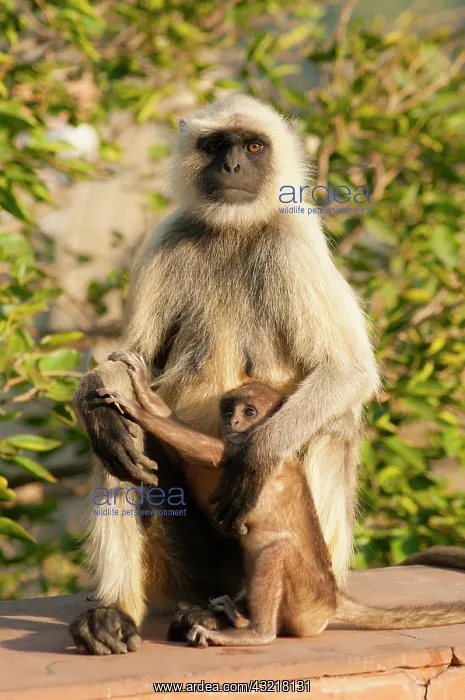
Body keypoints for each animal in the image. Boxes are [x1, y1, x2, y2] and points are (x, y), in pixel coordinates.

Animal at [69, 94, 380, 654]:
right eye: (216, 145)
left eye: (253, 147)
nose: (233, 166)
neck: (234, 229)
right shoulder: (167, 239)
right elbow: (131, 362)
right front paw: (91, 396)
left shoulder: (293, 241)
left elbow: (348, 371)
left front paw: (257, 455)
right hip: (189, 567)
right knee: (118, 440)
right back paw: (115, 613)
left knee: (334, 422)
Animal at [95, 351, 465, 648]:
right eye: (229, 410)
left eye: (250, 411)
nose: (233, 421)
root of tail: (332, 597)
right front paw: (143, 392)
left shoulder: (243, 446)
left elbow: (205, 451)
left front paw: (137, 408)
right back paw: (239, 618)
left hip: (305, 604)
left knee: (276, 552)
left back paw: (255, 632)